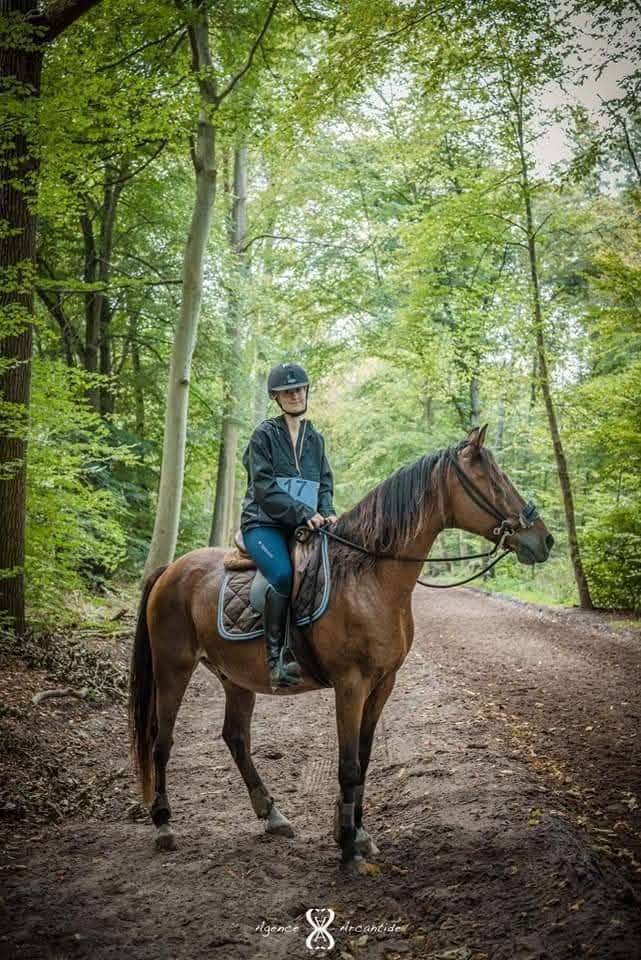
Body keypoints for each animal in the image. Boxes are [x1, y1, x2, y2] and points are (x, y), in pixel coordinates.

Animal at [129, 425, 553, 873]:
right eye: (492, 479)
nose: (544, 539)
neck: (370, 577)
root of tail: (169, 571)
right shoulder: (351, 685)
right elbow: (348, 765)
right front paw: (348, 850)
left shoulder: (383, 683)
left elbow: (364, 760)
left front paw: (359, 835)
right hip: (173, 668)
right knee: (161, 741)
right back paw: (164, 825)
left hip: (235, 677)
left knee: (236, 737)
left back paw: (273, 815)